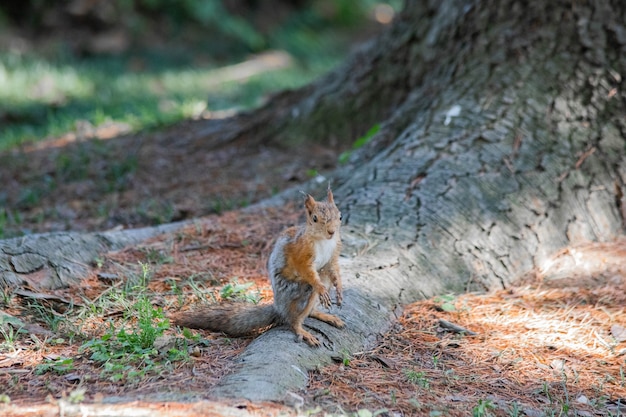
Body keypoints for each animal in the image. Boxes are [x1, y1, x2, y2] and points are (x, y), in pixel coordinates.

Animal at [171, 187, 344, 346]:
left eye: (340, 216)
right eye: (314, 218)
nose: (331, 232)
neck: (323, 241)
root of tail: (279, 307)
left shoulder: (333, 254)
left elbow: (334, 269)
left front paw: (339, 289)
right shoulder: (301, 253)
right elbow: (306, 271)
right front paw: (320, 287)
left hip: (321, 277)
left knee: (312, 306)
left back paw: (326, 315)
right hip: (298, 292)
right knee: (293, 319)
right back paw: (301, 329)